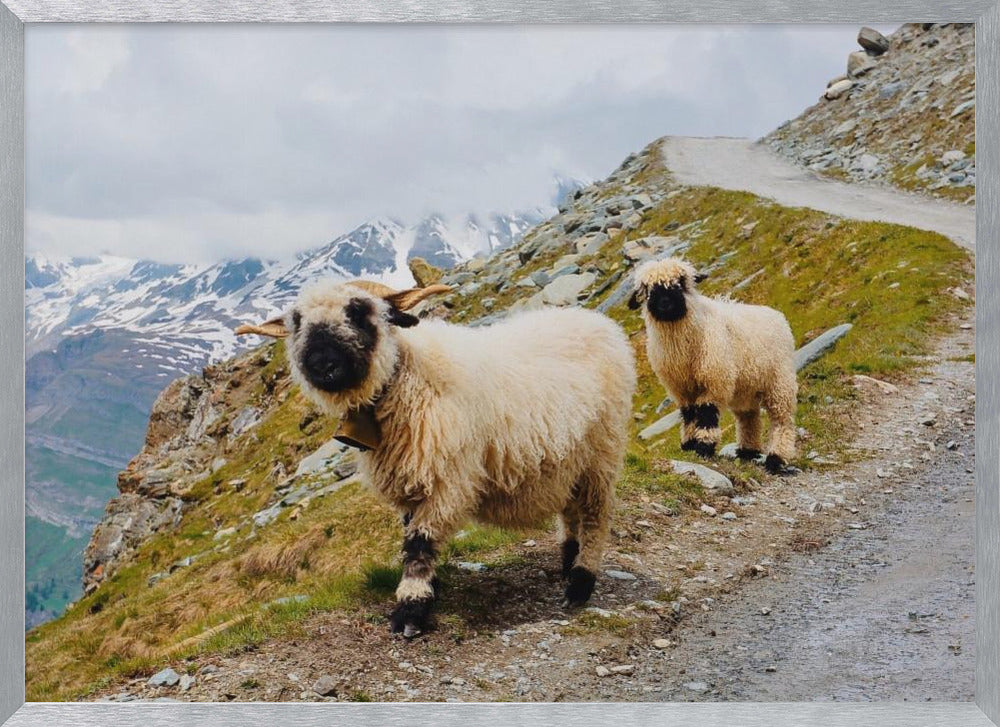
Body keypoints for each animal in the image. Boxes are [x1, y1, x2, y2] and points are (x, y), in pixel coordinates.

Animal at [238, 278, 636, 636]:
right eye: (297, 322)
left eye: (358, 311)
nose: (322, 365)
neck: (404, 378)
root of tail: (598, 321)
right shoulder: (412, 484)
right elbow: (411, 537)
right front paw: (429, 591)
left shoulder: (446, 481)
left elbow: (419, 545)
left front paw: (411, 610)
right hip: (567, 460)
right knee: (571, 511)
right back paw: (568, 560)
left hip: (603, 450)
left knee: (596, 516)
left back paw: (580, 583)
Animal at [628, 258, 800, 474]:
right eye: (647, 289)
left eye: (681, 282)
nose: (665, 302)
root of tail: (778, 316)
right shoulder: (681, 388)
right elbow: (689, 414)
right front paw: (689, 444)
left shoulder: (714, 380)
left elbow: (706, 414)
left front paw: (704, 447)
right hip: (745, 388)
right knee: (749, 418)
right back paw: (748, 452)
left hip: (779, 382)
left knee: (782, 421)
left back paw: (776, 459)